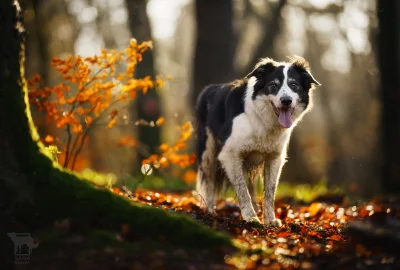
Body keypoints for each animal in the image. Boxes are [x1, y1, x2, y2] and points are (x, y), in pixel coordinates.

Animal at [195, 56, 320, 226]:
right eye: (273, 85)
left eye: (294, 85)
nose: (286, 100)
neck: (263, 120)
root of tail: (209, 88)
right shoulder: (230, 154)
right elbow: (242, 189)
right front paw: (251, 217)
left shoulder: (274, 158)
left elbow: (270, 192)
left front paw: (270, 220)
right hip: (208, 152)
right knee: (209, 182)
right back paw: (210, 211)